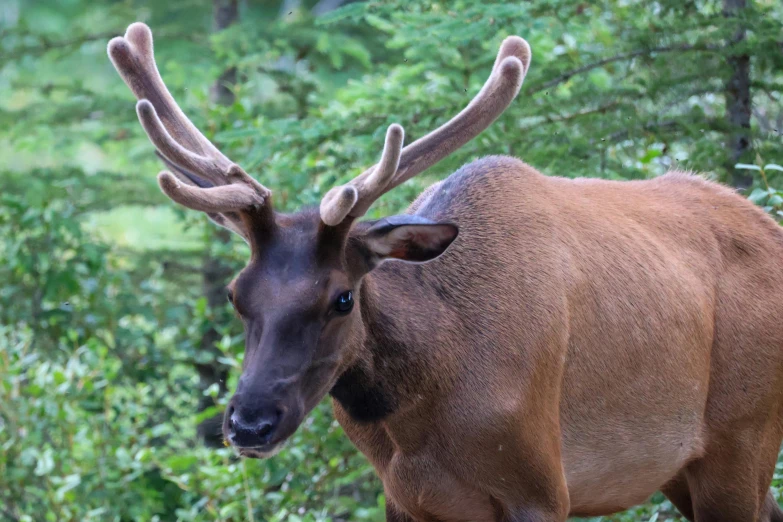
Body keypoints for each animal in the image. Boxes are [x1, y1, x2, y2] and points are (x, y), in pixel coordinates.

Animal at [108, 22, 783, 516]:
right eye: (236, 294)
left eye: (342, 297)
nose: (249, 422)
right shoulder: (407, 500)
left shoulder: (543, 485)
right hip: (684, 468)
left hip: (744, 436)